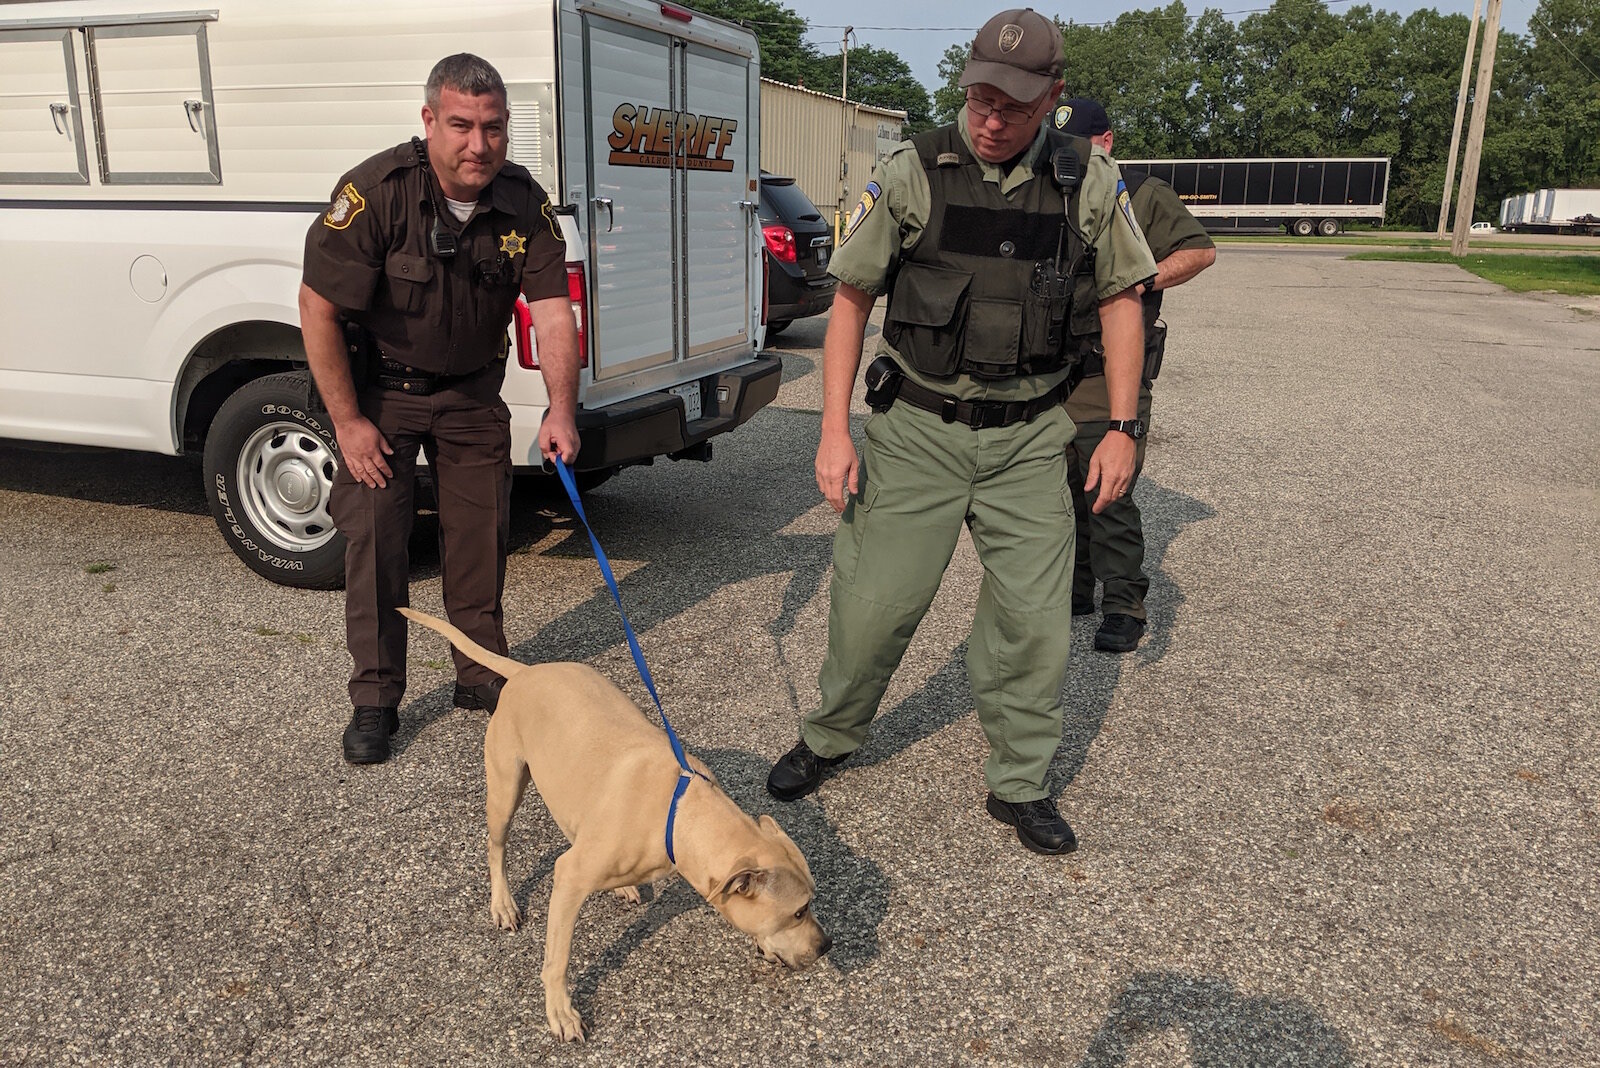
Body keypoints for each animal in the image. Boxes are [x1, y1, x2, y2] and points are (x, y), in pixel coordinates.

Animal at [396, 607, 838, 1042]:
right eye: (799, 911)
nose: (827, 945)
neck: (677, 816)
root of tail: (524, 673)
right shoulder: (569, 877)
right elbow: (557, 958)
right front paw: (561, 1013)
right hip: (506, 788)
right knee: (496, 847)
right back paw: (503, 904)